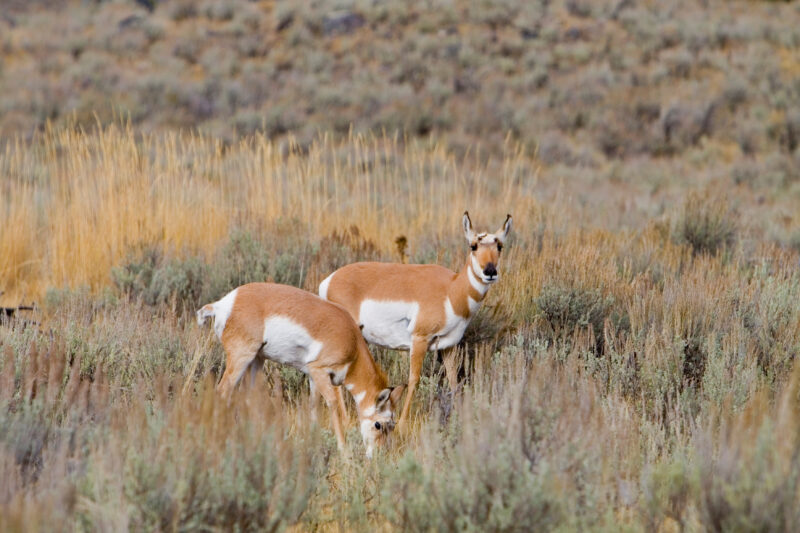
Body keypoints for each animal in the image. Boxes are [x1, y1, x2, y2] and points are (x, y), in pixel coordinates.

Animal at [197, 282, 405, 457]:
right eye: (378, 424)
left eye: (392, 425)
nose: (378, 455)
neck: (351, 342)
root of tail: (225, 303)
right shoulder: (319, 371)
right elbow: (332, 405)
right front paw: (344, 451)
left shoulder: (313, 378)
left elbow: (313, 406)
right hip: (242, 359)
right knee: (223, 391)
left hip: (256, 361)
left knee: (248, 397)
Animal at [319, 212, 512, 428]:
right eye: (473, 246)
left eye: (499, 246)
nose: (490, 272)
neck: (451, 289)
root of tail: (329, 280)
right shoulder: (419, 339)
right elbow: (414, 379)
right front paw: (402, 422)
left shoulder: (449, 346)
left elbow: (453, 379)